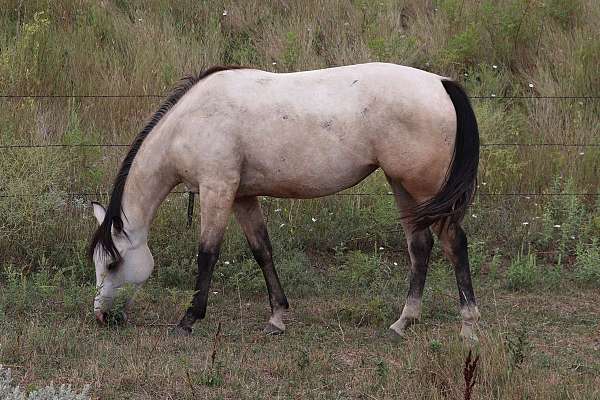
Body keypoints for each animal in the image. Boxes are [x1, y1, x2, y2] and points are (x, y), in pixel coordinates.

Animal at [89, 61, 480, 338]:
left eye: (113, 263)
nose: (101, 316)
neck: (191, 120)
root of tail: (441, 83)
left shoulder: (217, 189)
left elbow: (207, 254)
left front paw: (189, 319)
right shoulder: (242, 196)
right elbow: (262, 251)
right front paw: (277, 316)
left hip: (425, 189)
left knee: (454, 243)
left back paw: (469, 327)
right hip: (403, 186)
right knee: (420, 246)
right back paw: (403, 322)